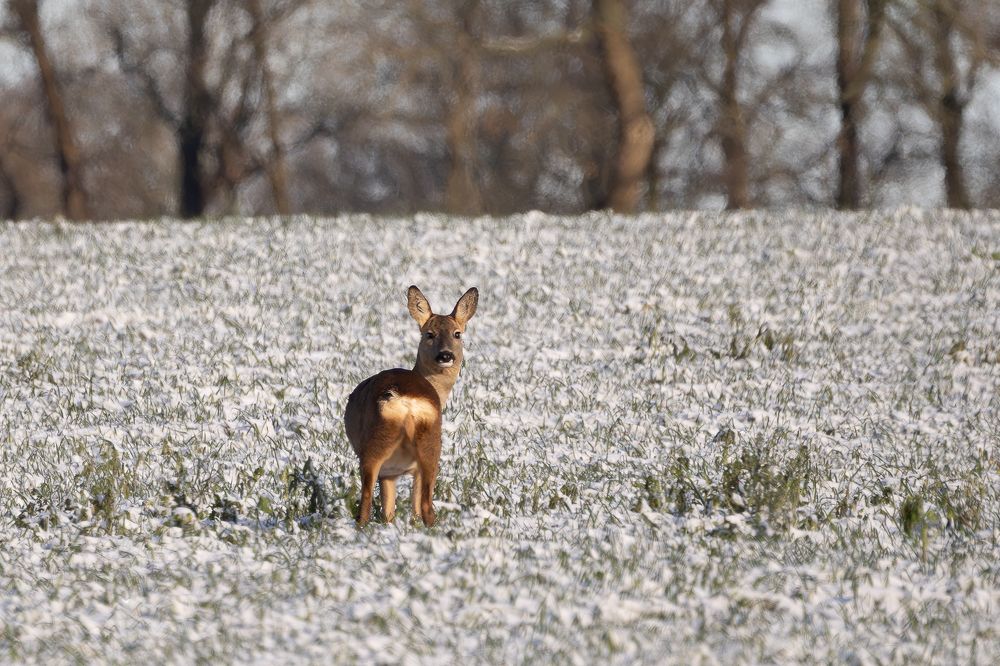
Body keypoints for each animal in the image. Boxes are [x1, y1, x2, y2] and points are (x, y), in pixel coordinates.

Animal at [344, 285, 478, 527]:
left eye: (457, 334)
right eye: (429, 334)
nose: (446, 355)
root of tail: (405, 400)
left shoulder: (394, 471)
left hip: (381, 443)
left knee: (369, 501)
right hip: (427, 445)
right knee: (422, 506)